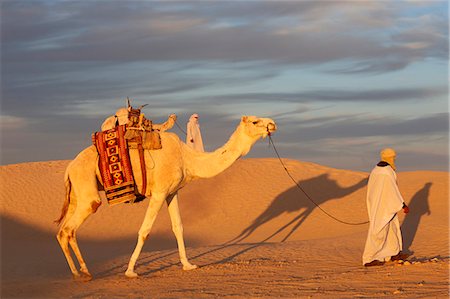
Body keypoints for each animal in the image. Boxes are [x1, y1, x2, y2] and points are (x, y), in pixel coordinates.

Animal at [54, 115, 276, 282]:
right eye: (255, 121)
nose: (272, 123)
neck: (187, 158)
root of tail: (69, 168)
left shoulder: (171, 192)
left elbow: (178, 227)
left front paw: (188, 265)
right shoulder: (159, 192)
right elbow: (144, 231)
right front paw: (130, 271)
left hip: (76, 193)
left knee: (62, 231)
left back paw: (79, 272)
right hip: (87, 189)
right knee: (69, 228)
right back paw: (82, 273)